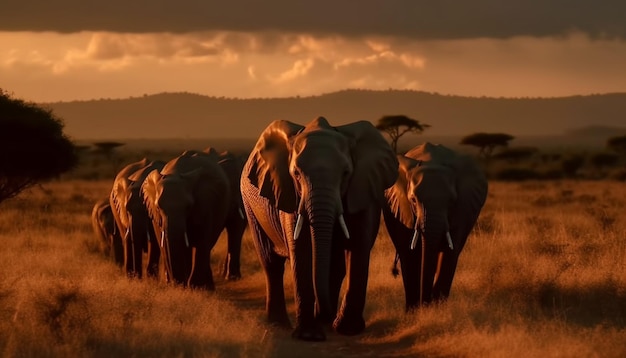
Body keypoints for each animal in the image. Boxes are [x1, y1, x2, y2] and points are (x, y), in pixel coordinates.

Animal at [140, 150, 233, 290]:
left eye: (189, 206)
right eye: (158, 207)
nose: (177, 283)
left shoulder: (206, 203)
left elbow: (202, 240)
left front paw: (196, 287)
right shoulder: (156, 216)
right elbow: (165, 243)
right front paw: (178, 286)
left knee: (207, 245)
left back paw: (207, 287)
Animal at [241, 117, 398, 342]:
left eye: (346, 174)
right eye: (296, 174)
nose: (324, 314)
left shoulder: (363, 189)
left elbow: (358, 247)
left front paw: (347, 330)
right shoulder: (290, 193)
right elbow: (302, 249)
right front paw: (309, 335)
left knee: (336, 267)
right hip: (250, 206)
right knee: (271, 263)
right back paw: (279, 324)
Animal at [380, 142, 488, 310]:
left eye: (451, 201)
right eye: (413, 200)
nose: (426, 304)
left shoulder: (461, 211)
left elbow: (449, 253)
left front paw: (437, 310)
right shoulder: (402, 210)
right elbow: (409, 254)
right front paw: (415, 311)